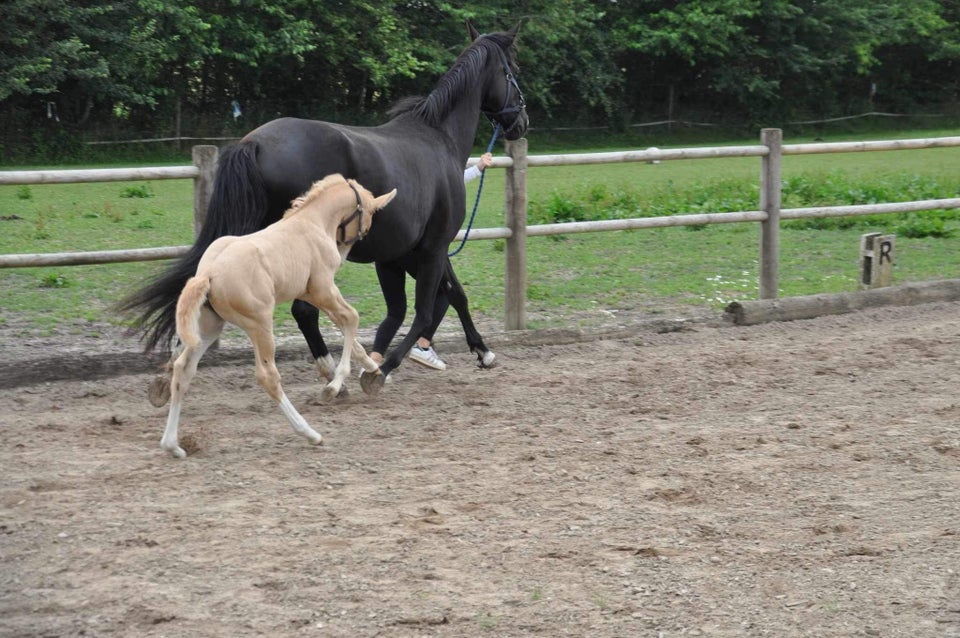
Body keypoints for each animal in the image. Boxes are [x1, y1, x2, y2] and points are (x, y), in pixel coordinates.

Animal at [121, 21, 528, 396]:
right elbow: (427, 307)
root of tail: (254, 144)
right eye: (513, 69)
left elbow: (441, 298)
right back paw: (331, 372)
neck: (438, 139)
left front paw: (480, 352)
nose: (522, 121)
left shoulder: (402, 255)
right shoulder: (433, 247)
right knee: (303, 311)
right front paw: (382, 369)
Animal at [161, 175, 398, 460]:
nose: (344, 254)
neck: (313, 221)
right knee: (268, 377)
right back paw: (310, 433)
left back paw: (173, 445)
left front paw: (375, 371)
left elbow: (343, 324)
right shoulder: (323, 289)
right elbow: (351, 318)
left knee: (182, 370)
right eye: (370, 217)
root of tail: (208, 274)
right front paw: (333, 387)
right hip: (260, 324)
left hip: (209, 327)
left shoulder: (310, 293)